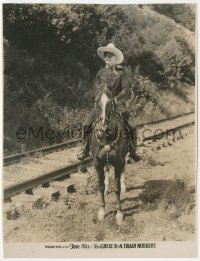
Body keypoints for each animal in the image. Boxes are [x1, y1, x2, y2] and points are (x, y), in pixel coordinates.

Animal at [90, 88, 129, 224]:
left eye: (111, 103)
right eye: (96, 103)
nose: (101, 131)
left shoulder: (118, 162)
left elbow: (117, 188)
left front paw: (119, 214)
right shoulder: (98, 163)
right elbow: (100, 186)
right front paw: (102, 211)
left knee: (123, 170)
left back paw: (124, 186)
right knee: (107, 169)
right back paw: (108, 187)